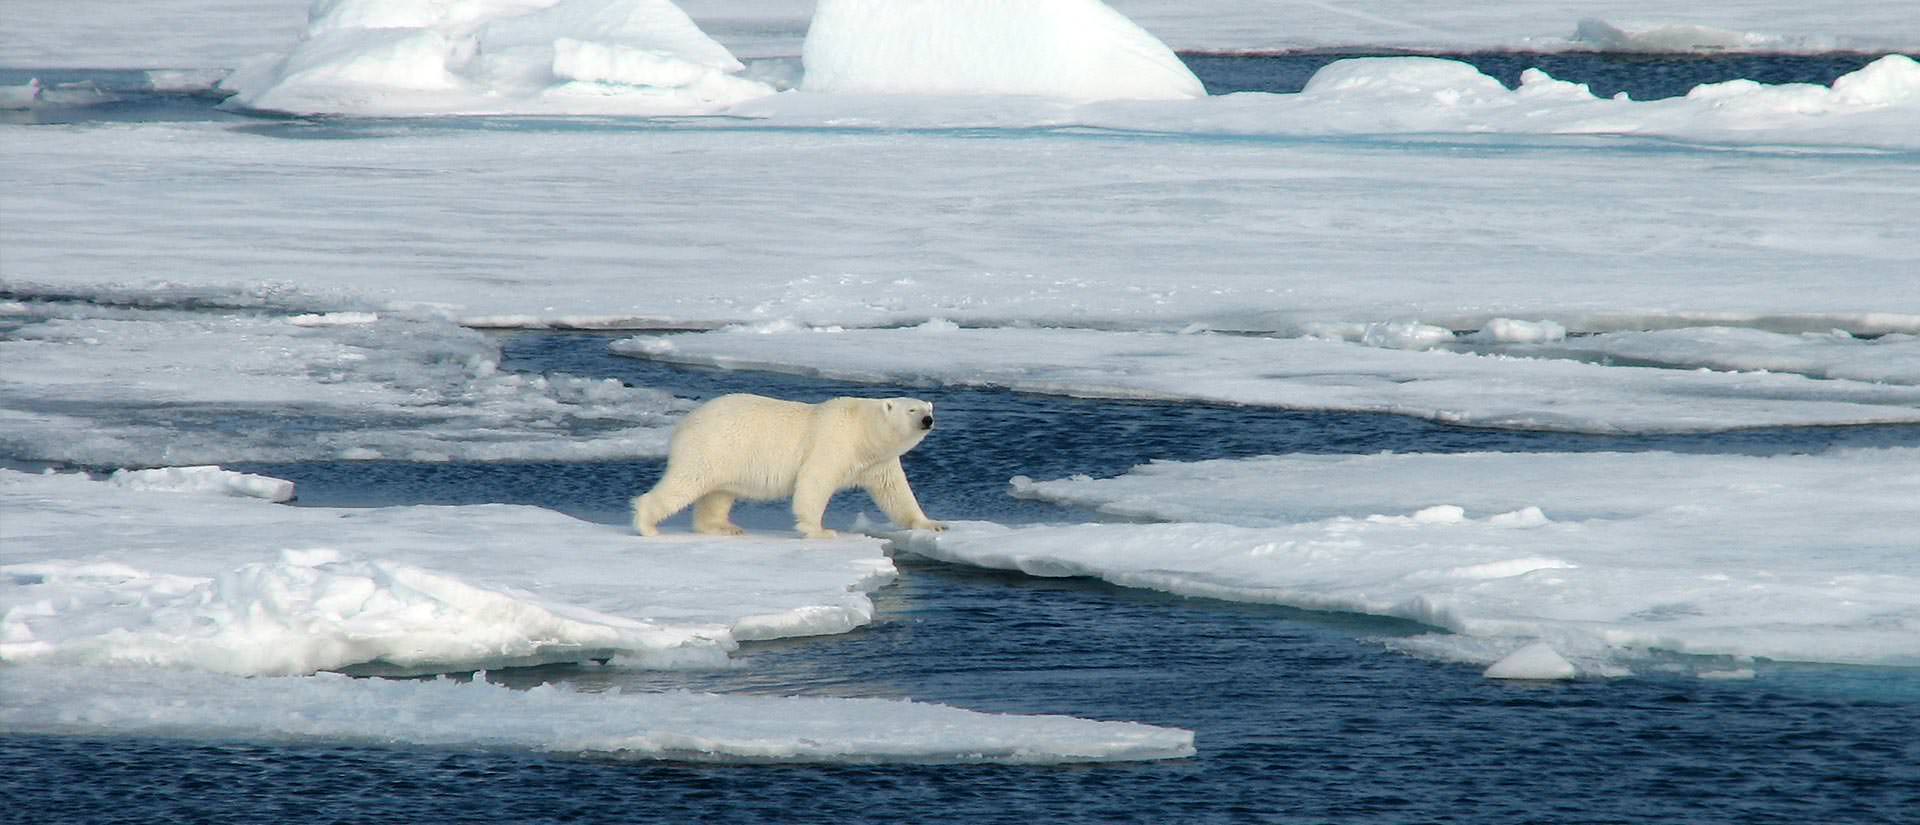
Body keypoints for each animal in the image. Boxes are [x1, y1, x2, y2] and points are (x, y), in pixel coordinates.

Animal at [633, 395, 948, 541]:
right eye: (912, 410)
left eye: (928, 409)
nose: (927, 420)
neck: (862, 431)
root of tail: (682, 424)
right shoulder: (833, 442)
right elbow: (814, 481)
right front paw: (821, 531)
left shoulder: (878, 461)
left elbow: (895, 492)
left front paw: (932, 524)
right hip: (711, 447)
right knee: (685, 483)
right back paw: (648, 526)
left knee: (718, 495)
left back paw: (725, 527)